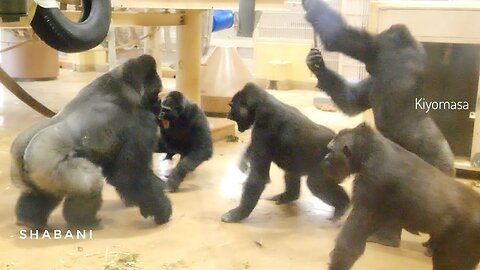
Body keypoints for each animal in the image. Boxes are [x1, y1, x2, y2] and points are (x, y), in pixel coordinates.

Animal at [9, 54, 172, 228]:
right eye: (156, 93)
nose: (160, 107)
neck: (122, 84)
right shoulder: (143, 121)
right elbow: (129, 175)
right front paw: (161, 210)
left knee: (41, 192)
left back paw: (30, 220)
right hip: (50, 165)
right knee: (91, 183)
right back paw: (83, 221)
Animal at [221, 83, 348, 223]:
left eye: (231, 106)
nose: (228, 114)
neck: (262, 104)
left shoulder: (264, 129)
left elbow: (257, 178)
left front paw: (238, 213)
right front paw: (244, 159)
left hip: (334, 163)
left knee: (315, 183)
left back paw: (342, 205)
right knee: (292, 171)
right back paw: (288, 196)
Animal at [304, 0, 454, 248]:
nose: (368, 69)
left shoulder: (385, 49)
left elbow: (342, 38)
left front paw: (312, 8)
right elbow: (351, 101)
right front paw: (318, 67)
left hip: (435, 169)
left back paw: (388, 238)